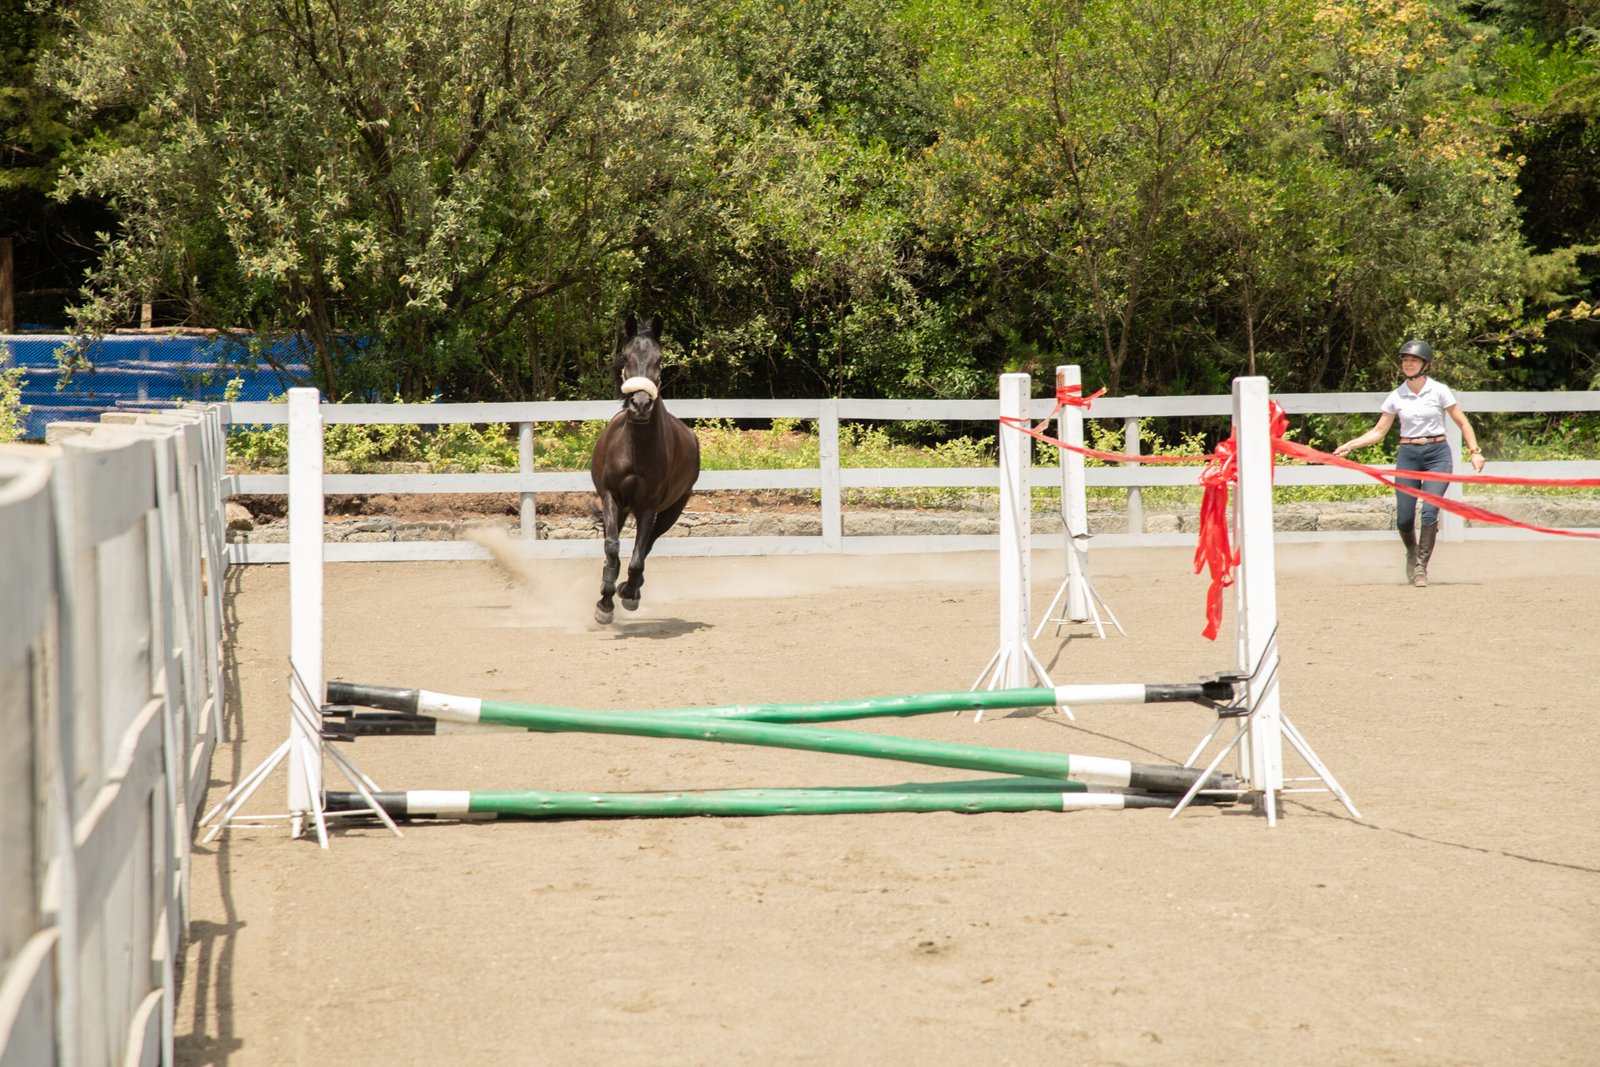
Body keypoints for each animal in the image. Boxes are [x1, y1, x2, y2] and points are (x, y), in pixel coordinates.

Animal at [589, 316, 701, 624]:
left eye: (659, 359)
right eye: (626, 357)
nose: (640, 404)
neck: (636, 450)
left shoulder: (650, 507)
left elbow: (639, 556)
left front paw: (627, 593)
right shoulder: (611, 498)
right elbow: (612, 547)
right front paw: (605, 603)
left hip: (671, 510)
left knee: (647, 546)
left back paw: (631, 589)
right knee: (613, 546)